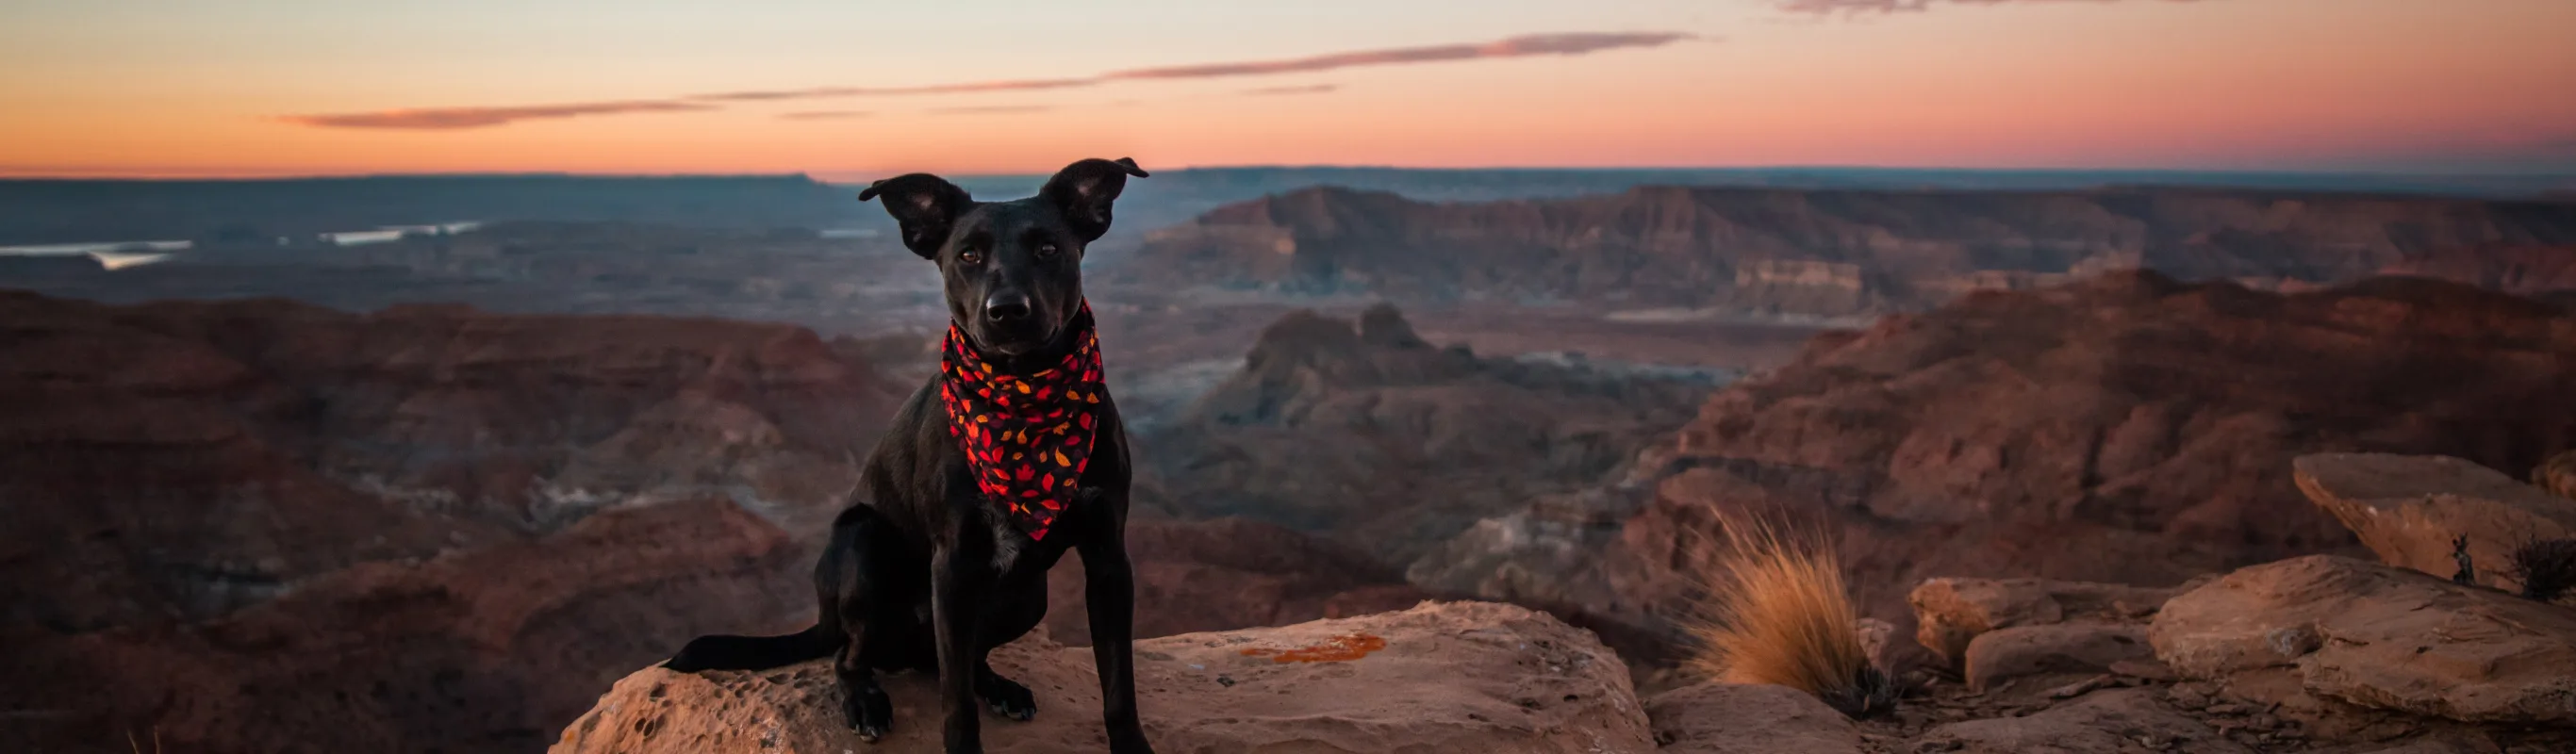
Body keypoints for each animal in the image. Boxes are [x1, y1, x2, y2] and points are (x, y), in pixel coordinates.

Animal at [664, 154, 1159, 751]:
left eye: (1048, 249)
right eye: (967, 255)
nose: (1006, 311)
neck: (1023, 397)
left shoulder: (1108, 559)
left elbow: (1119, 685)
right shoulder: (952, 565)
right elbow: (955, 706)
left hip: (1028, 596)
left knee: (953, 662)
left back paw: (998, 686)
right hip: (864, 548)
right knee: (852, 655)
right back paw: (864, 700)